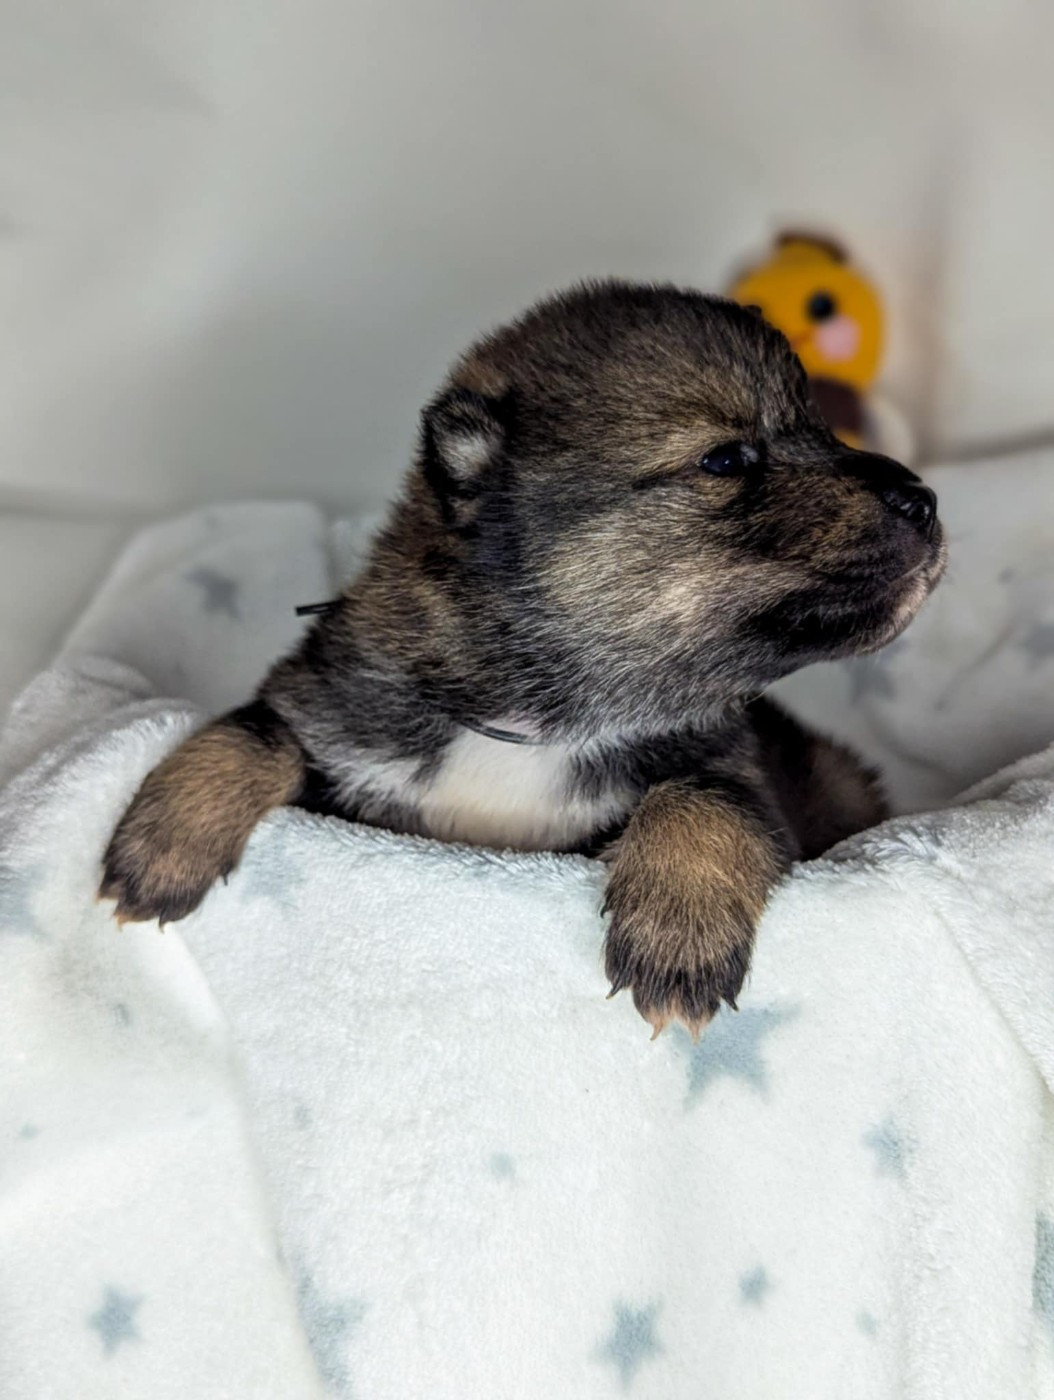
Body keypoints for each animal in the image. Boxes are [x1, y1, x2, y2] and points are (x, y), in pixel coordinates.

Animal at [100, 280, 945, 1036]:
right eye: (728, 459)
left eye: (825, 429)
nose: (925, 500)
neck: (540, 722)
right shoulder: (340, 714)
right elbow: (259, 728)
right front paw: (164, 842)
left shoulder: (737, 764)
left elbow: (705, 797)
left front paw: (678, 932)